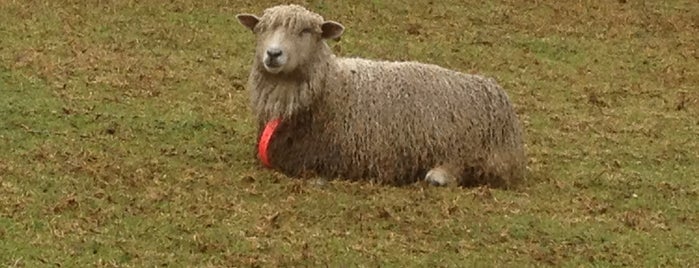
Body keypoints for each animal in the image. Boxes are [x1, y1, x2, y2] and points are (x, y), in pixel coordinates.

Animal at [238, 4, 528, 188]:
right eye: (261, 29)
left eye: (306, 31)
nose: (273, 54)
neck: (331, 87)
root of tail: (494, 89)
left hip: (473, 152)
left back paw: (438, 176)